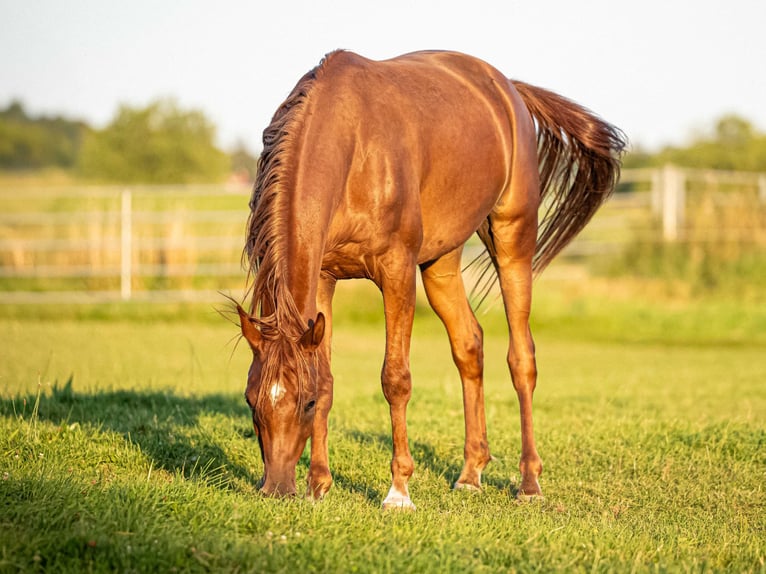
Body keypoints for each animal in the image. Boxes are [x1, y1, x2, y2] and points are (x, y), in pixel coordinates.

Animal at [236, 50, 626, 509]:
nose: (277, 489)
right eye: (251, 400)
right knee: (469, 344)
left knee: (521, 358)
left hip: (512, 241)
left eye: (306, 402)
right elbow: (329, 375)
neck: (353, 146)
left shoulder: (397, 270)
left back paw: (529, 483)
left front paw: (398, 491)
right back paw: (471, 473)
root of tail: (507, 88)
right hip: (441, 261)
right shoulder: (325, 278)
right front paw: (319, 484)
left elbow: (395, 378)